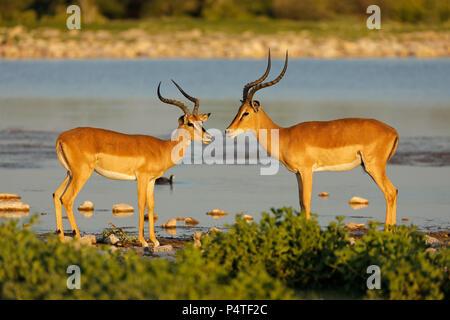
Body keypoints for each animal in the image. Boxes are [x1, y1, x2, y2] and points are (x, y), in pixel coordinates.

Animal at [53, 81, 213, 246]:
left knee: (56, 195)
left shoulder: (151, 180)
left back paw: (61, 237)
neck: (163, 148)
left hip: (70, 174)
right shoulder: (141, 178)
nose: (209, 137)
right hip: (82, 174)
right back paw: (78, 237)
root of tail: (62, 137)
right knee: (67, 199)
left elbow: (151, 205)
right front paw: (143, 241)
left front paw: (154, 240)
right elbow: (141, 204)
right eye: (190, 123)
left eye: (201, 122)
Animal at [227, 50, 400, 226]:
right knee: (393, 192)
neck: (285, 136)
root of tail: (393, 131)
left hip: (373, 167)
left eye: (246, 113)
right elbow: (301, 203)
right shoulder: (297, 174)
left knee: (391, 192)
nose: (228, 131)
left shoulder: (307, 171)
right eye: (238, 109)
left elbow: (307, 201)